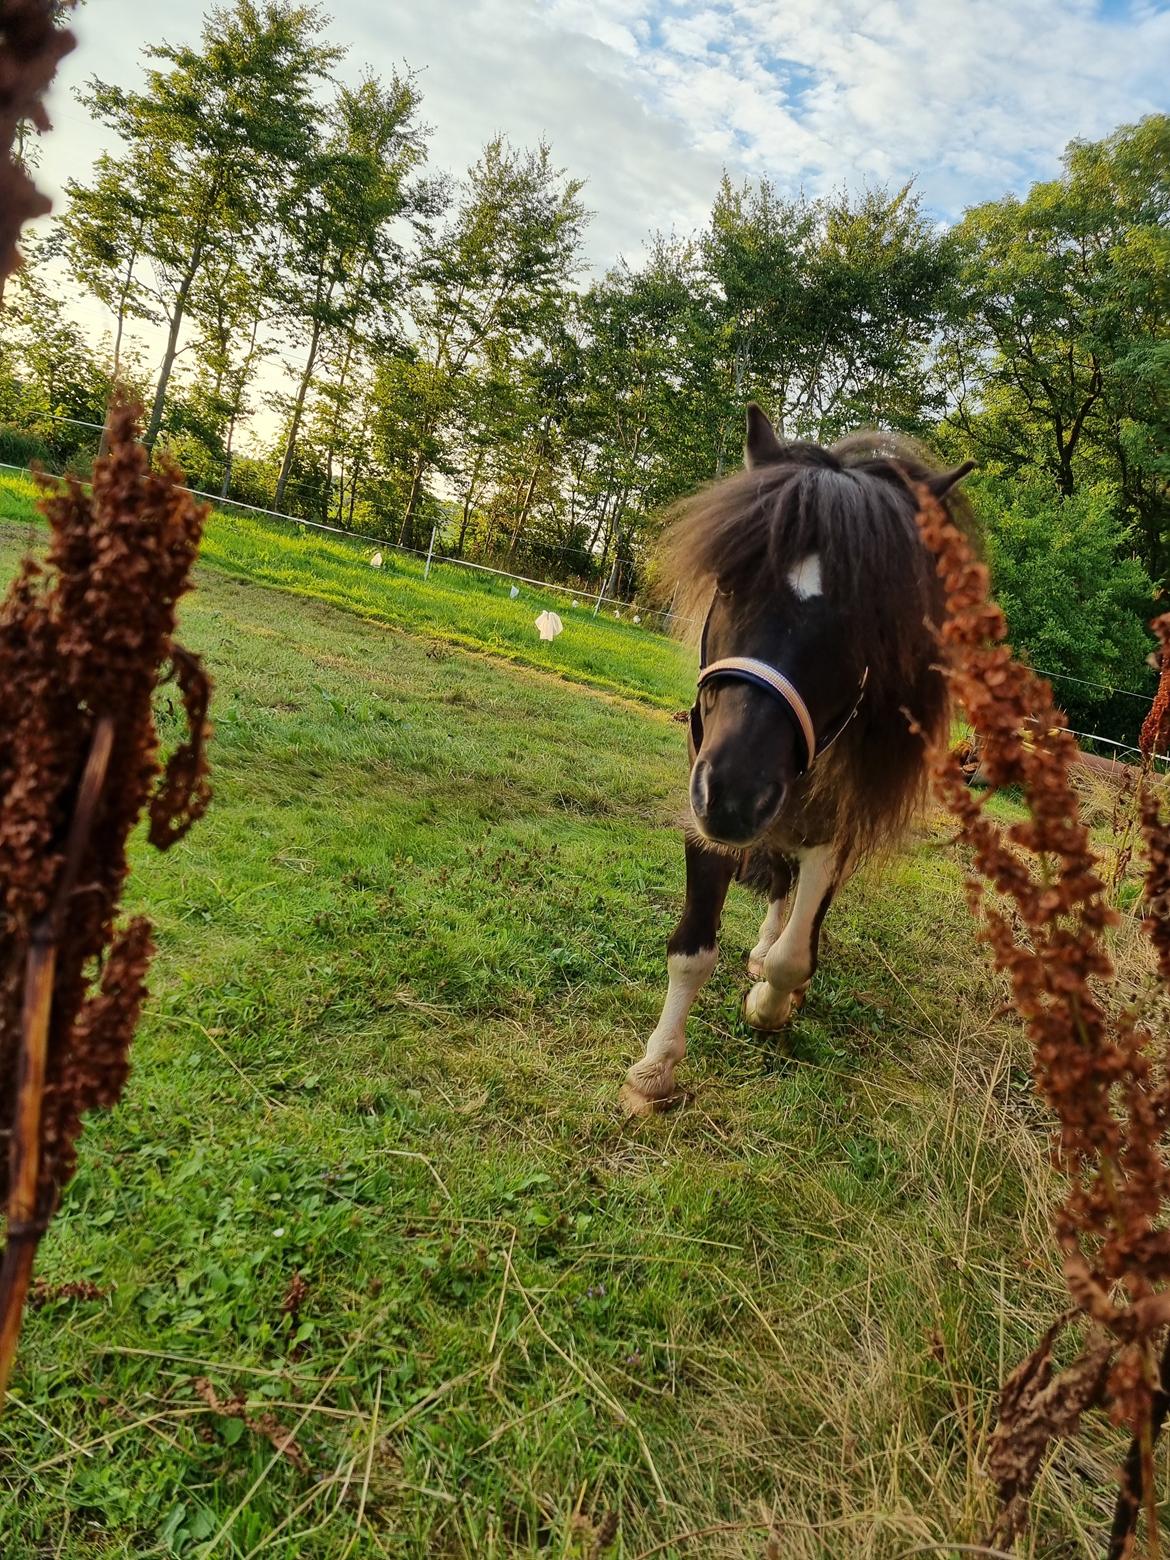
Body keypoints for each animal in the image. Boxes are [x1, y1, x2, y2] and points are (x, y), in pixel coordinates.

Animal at [624, 402, 979, 1110]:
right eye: (730, 581)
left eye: (869, 618)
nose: (736, 795)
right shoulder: (703, 797)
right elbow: (692, 948)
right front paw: (656, 1068)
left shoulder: (837, 827)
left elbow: (798, 954)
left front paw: (771, 1004)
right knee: (779, 885)